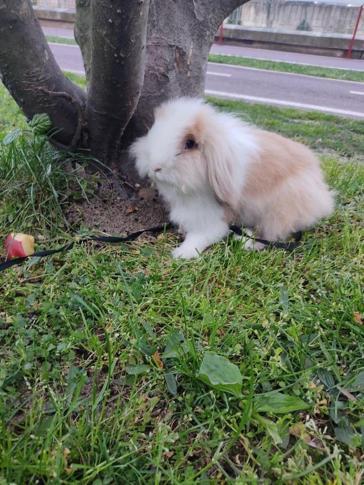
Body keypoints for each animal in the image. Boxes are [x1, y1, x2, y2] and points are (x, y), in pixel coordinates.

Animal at [129, 96, 334, 260]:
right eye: (152, 131)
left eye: (190, 143)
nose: (155, 166)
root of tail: (323, 196)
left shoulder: (212, 215)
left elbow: (204, 234)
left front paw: (182, 253)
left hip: (280, 209)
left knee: (271, 235)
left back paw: (247, 243)